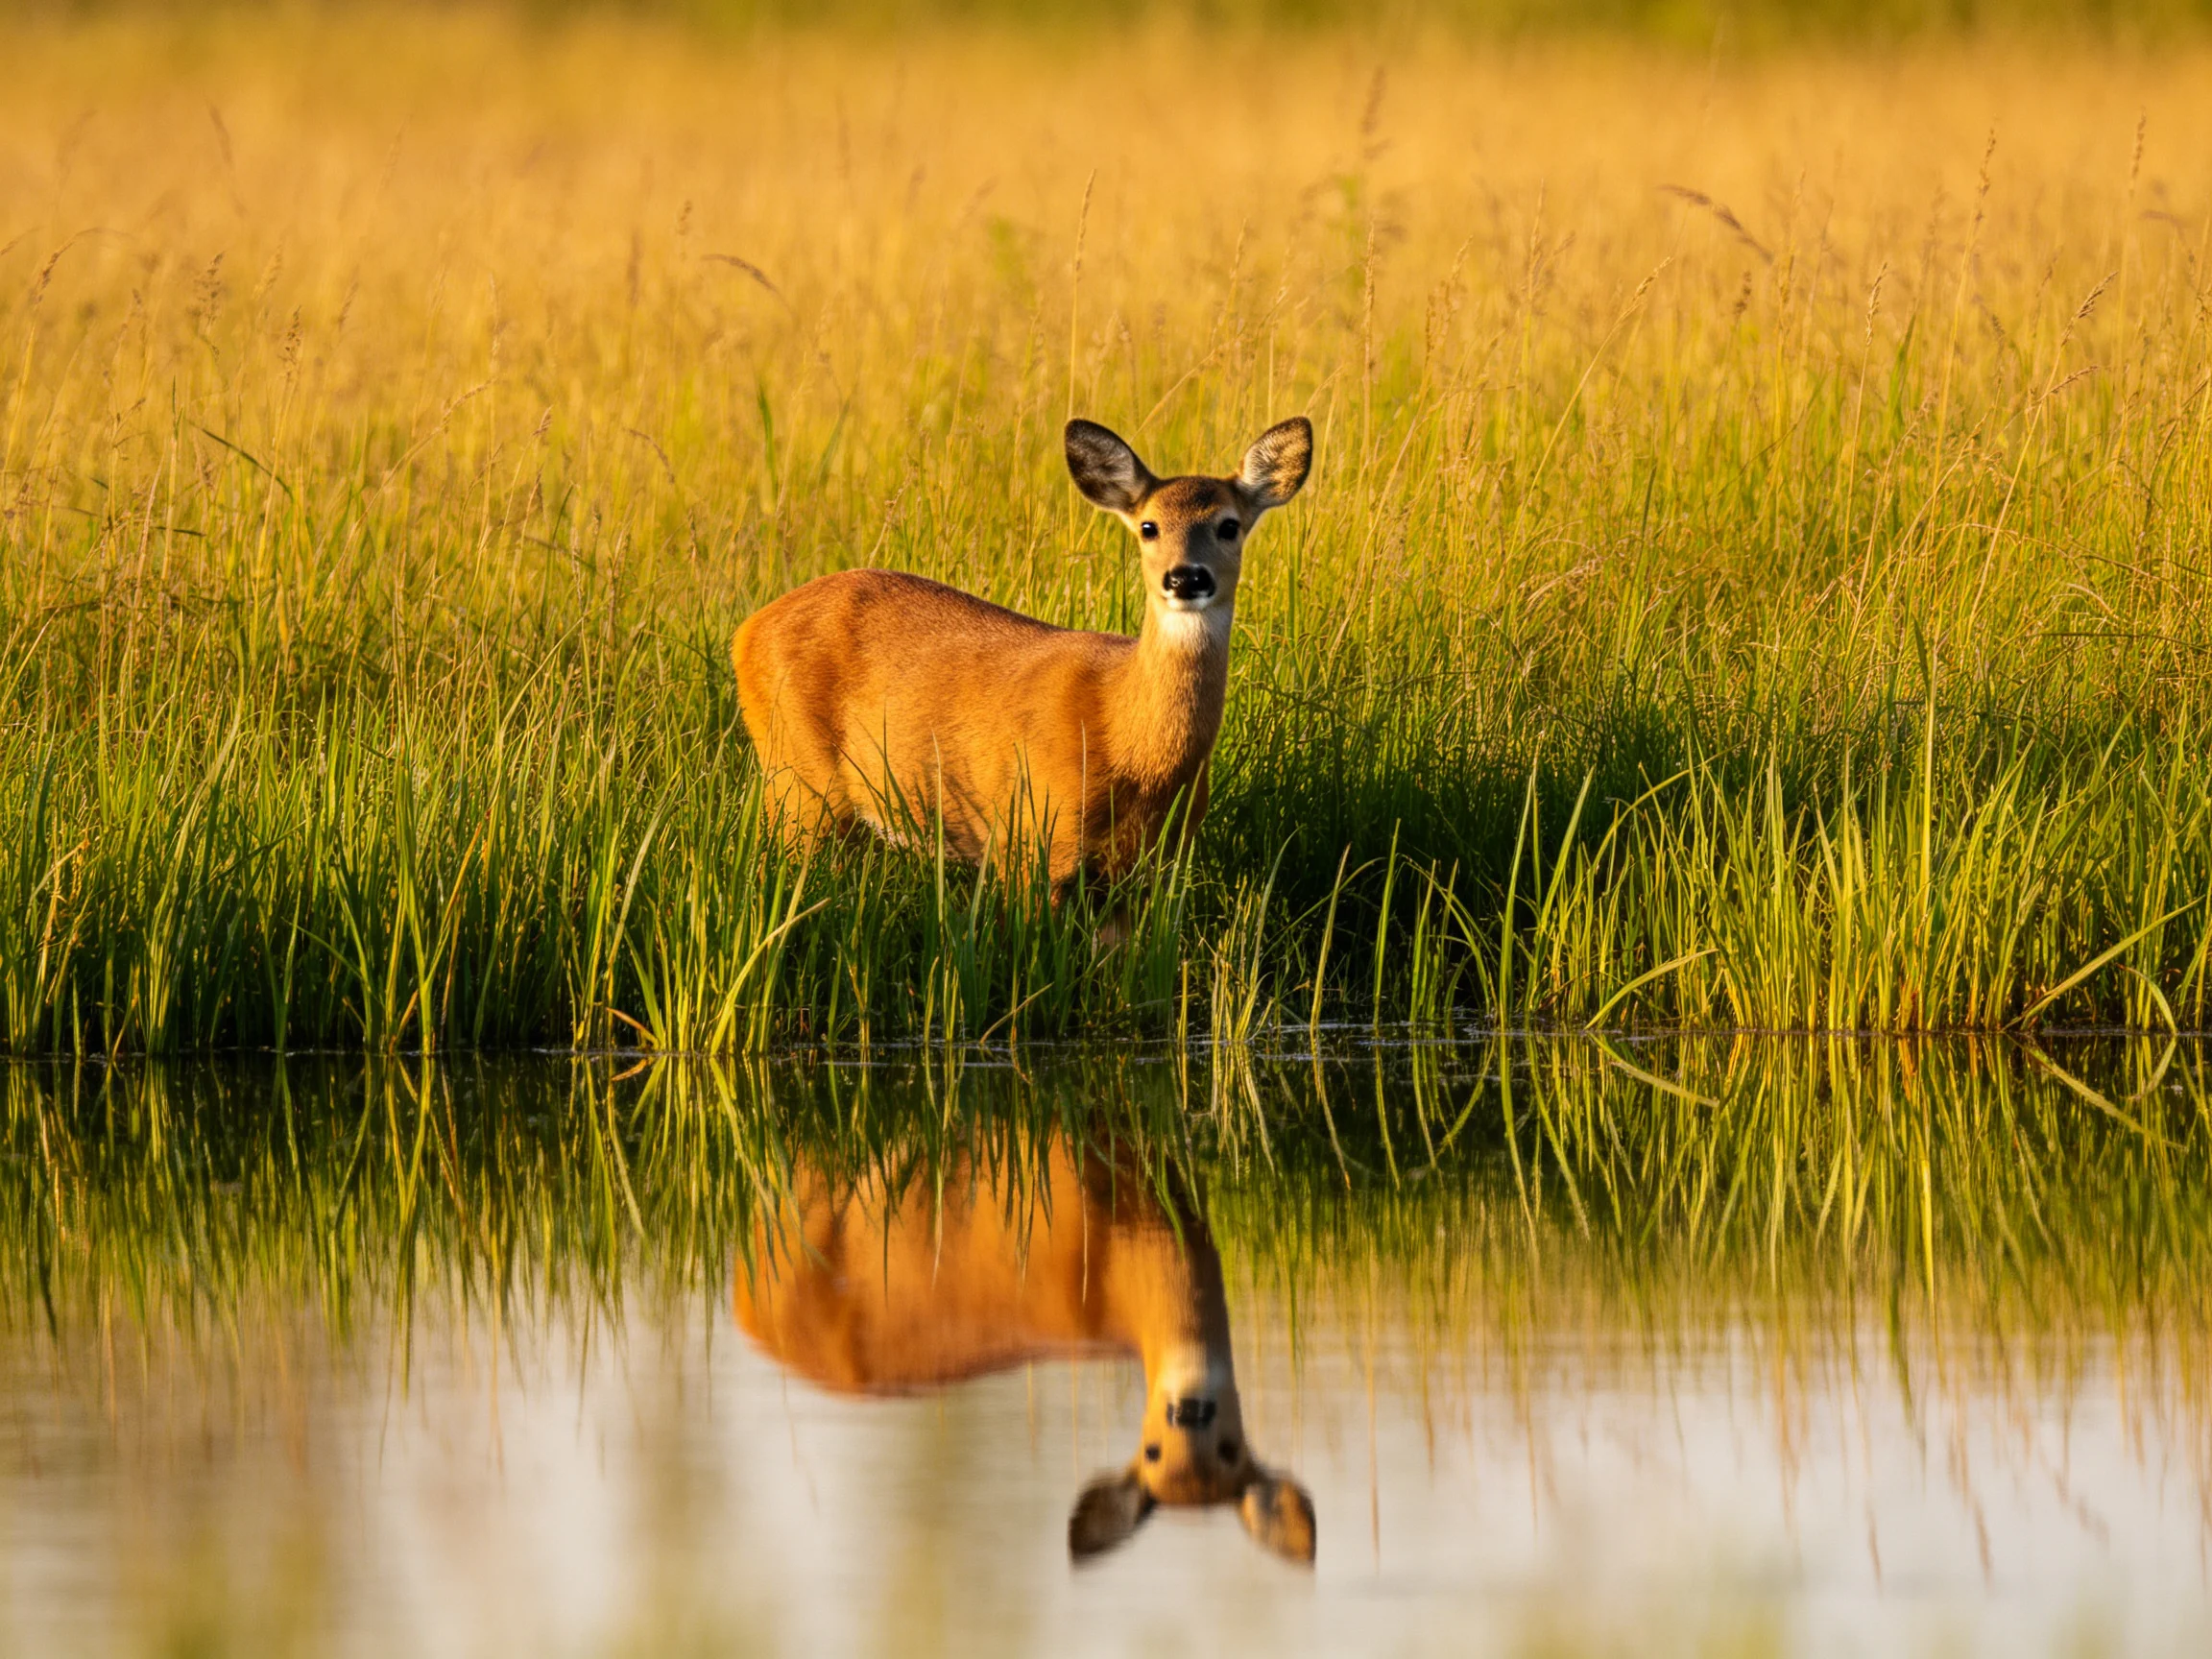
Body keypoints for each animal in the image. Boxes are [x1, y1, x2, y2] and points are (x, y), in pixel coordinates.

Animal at [730, 418, 1313, 902]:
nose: (1186, 577)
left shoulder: (1146, 869)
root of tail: (745, 632)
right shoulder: (1030, 842)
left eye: (1229, 525)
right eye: (1149, 527)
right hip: (797, 780)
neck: (1124, 735)